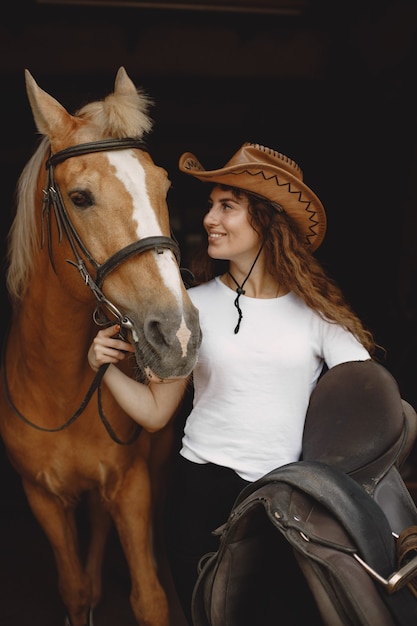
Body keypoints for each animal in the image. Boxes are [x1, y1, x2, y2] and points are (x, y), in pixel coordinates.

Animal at [0, 67, 201, 624]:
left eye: (163, 185)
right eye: (80, 197)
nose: (177, 333)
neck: (60, 387)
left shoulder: (131, 485)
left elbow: (149, 597)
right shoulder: (42, 498)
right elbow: (73, 589)